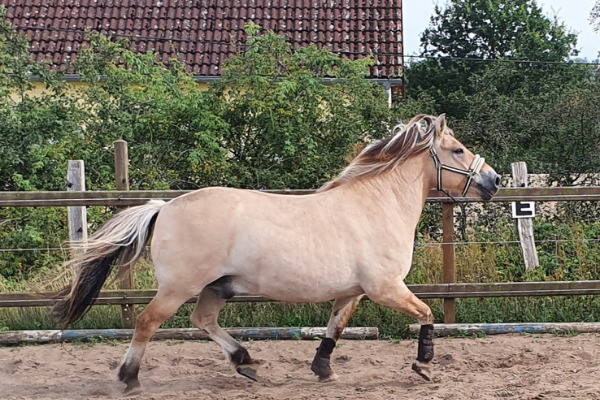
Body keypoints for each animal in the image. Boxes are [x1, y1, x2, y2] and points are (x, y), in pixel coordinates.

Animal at [54, 114, 500, 392]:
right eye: (458, 150)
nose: (493, 180)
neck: (377, 204)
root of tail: (164, 207)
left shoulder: (352, 292)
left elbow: (334, 328)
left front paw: (323, 370)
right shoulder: (386, 287)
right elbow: (426, 313)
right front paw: (423, 366)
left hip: (217, 287)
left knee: (203, 321)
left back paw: (246, 363)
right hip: (179, 287)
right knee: (148, 323)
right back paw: (130, 379)